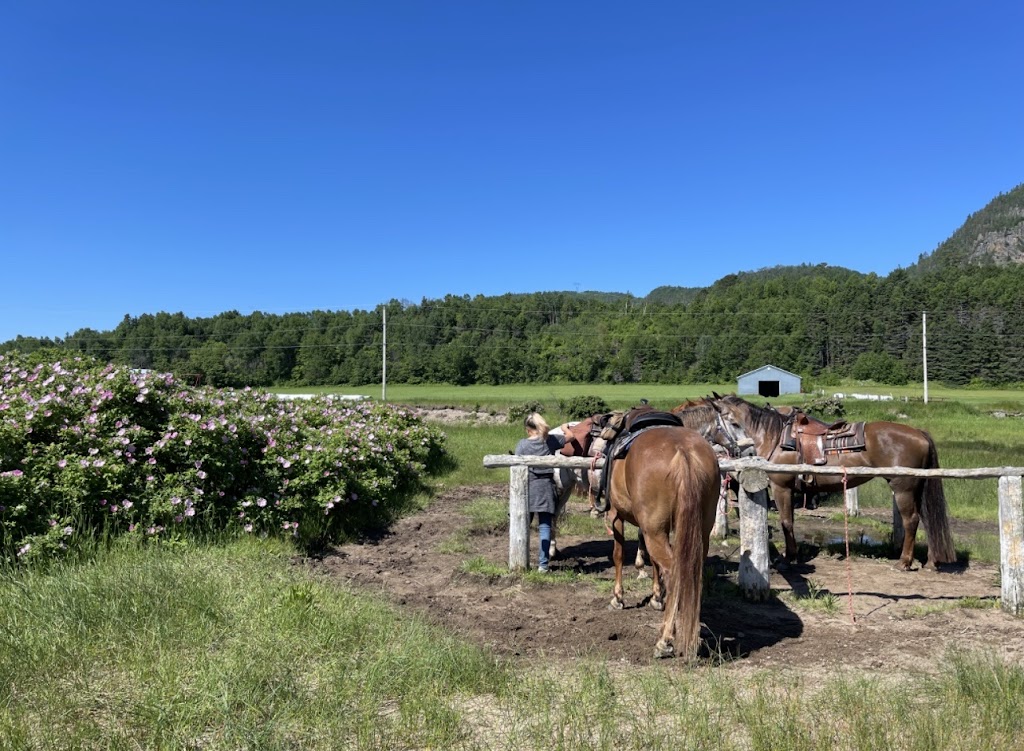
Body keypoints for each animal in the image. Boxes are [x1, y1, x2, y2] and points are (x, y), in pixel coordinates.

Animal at [593, 407, 720, 659]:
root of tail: (684, 452)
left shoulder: (616, 515)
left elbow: (619, 555)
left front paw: (617, 598)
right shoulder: (652, 528)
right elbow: (653, 562)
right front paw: (656, 597)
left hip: (654, 531)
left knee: (674, 572)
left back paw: (665, 640)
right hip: (697, 530)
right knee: (692, 573)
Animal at [708, 393, 954, 569]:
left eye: (727, 422)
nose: (709, 438)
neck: (775, 437)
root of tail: (919, 433)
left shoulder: (781, 488)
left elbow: (786, 522)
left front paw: (788, 558)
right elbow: (791, 522)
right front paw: (792, 555)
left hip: (903, 487)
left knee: (911, 520)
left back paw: (904, 562)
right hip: (917, 487)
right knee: (927, 518)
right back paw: (931, 561)